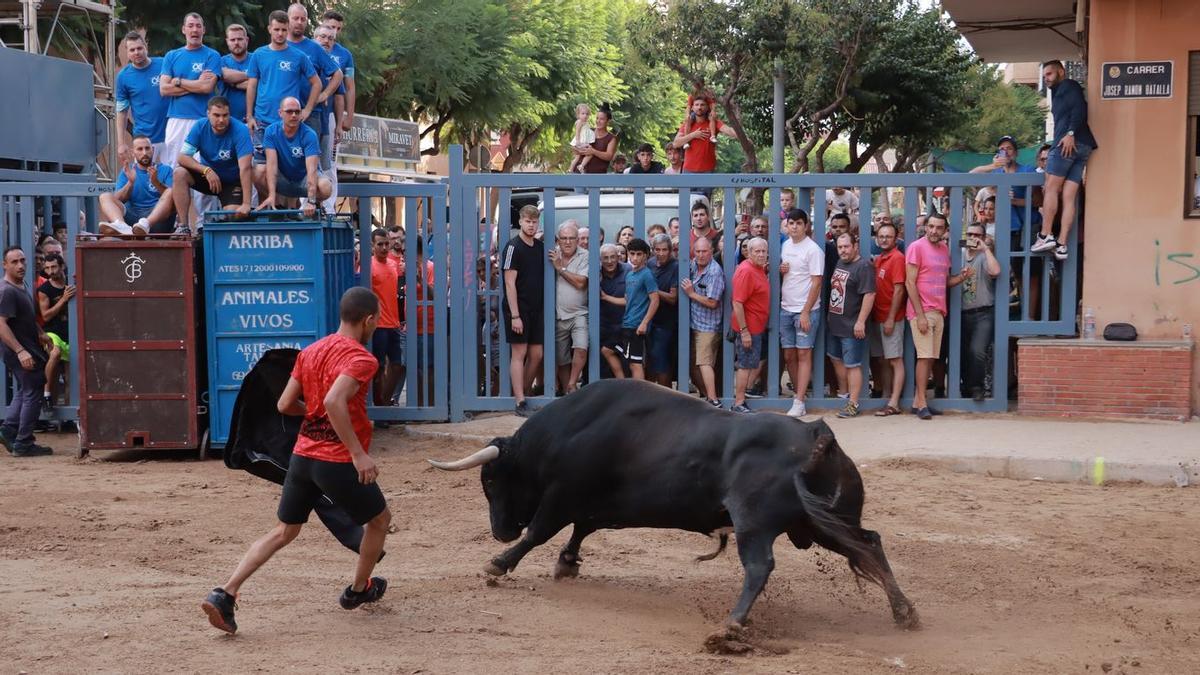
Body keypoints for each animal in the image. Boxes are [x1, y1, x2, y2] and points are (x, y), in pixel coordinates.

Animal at [432, 379, 916, 624]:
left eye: (490, 480)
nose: (499, 531)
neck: (569, 429)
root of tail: (817, 433)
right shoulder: (591, 502)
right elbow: (581, 530)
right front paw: (566, 564)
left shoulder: (561, 495)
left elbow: (540, 532)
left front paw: (499, 563)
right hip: (822, 523)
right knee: (869, 545)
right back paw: (904, 611)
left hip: (755, 523)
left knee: (760, 565)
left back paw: (733, 624)